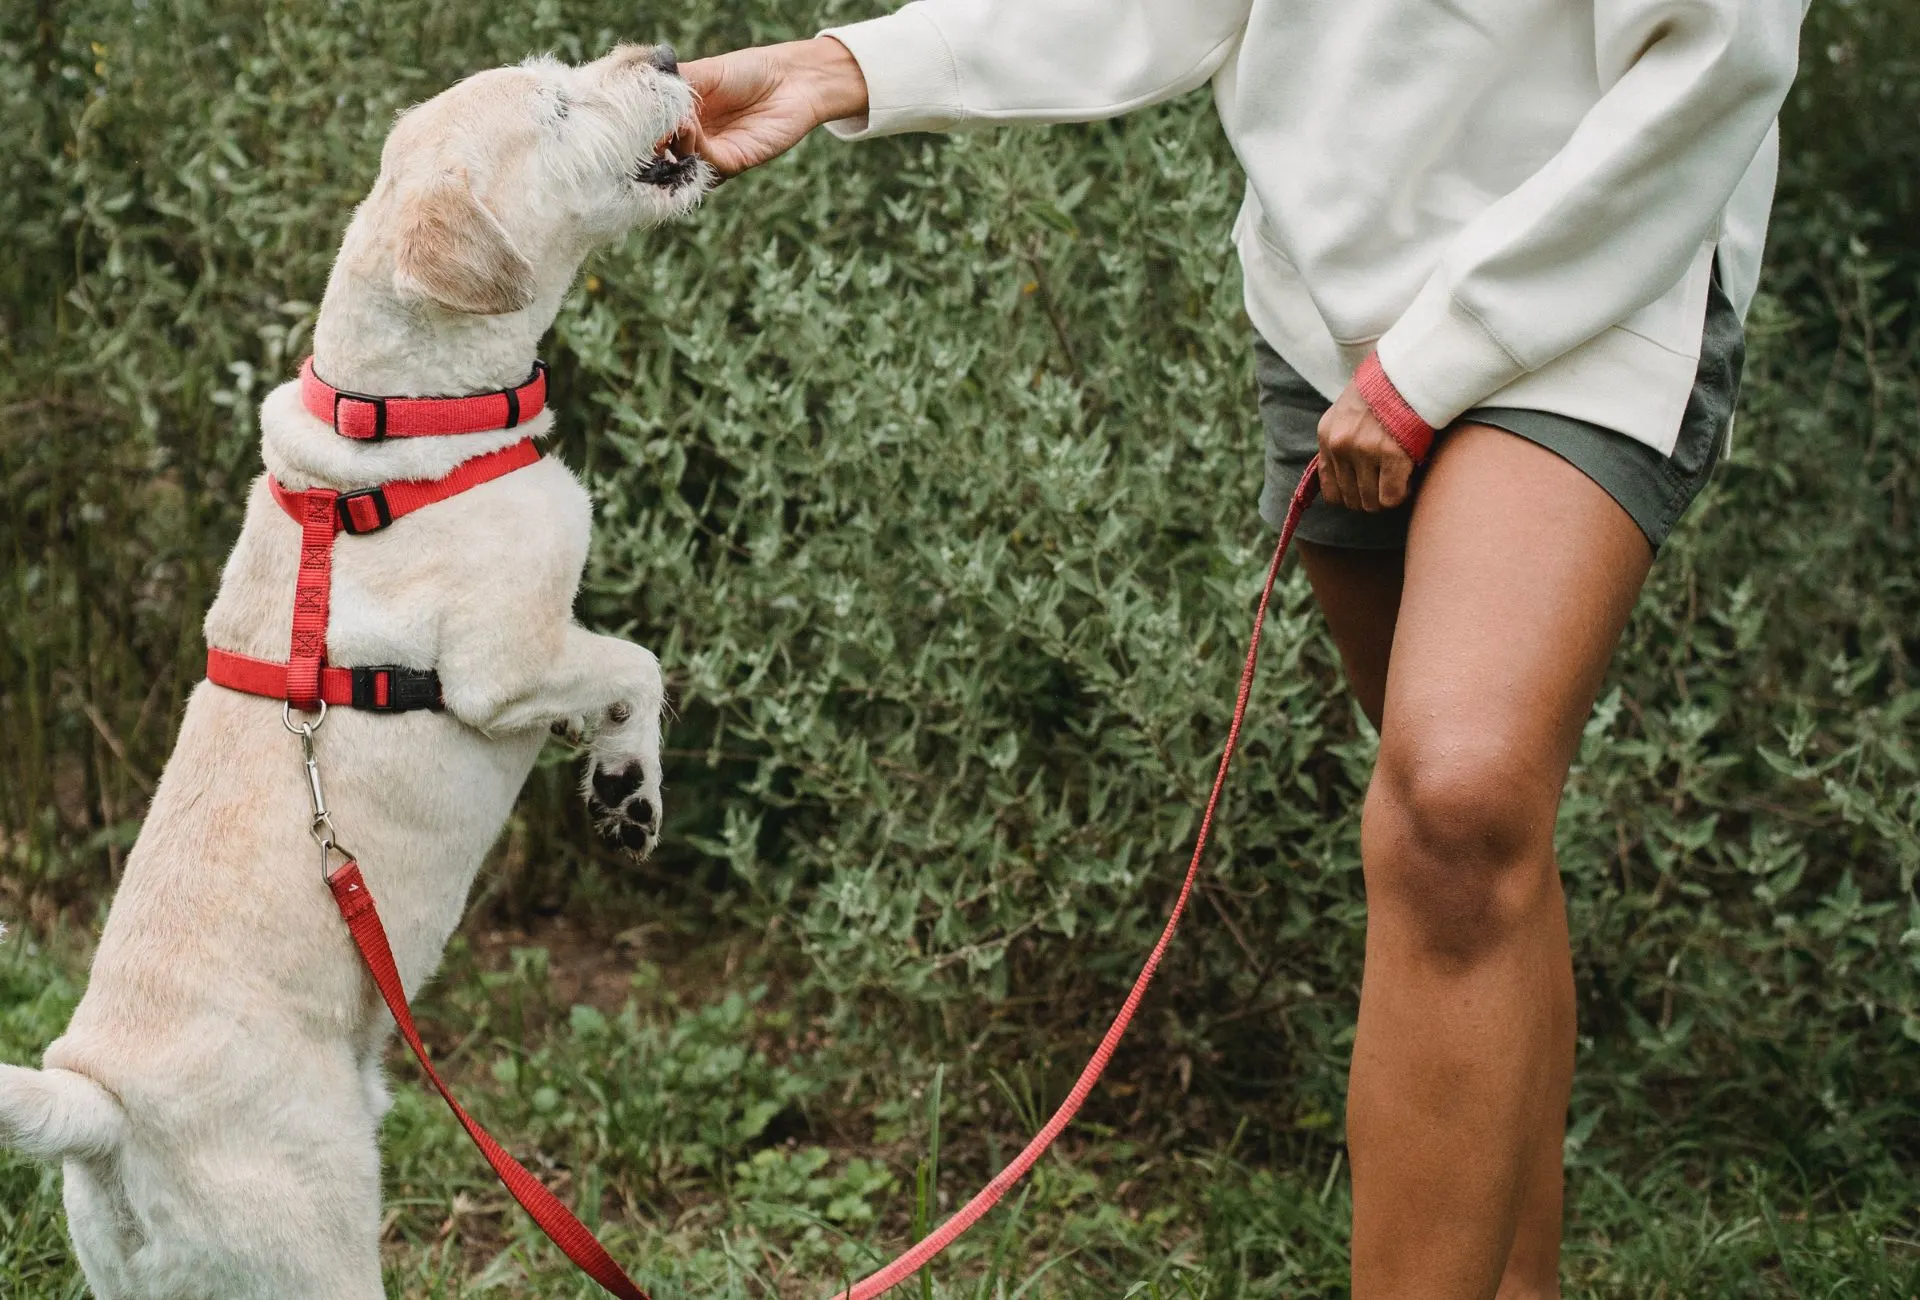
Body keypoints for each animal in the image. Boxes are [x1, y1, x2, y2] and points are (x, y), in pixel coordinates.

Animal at [0, 45, 714, 1290]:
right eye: (558, 104)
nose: (666, 57)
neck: (408, 413)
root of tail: (103, 1110)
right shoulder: (505, 664)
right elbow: (634, 662)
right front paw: (628, 789)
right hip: (317, 1234)